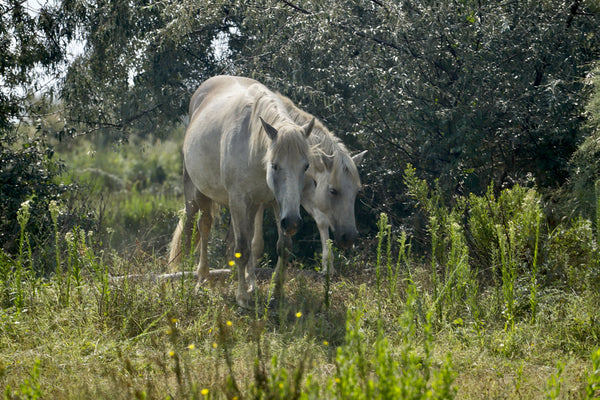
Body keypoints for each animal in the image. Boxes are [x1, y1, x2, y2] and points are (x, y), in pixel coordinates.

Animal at [166, 76, 312, 310]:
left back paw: (249, 282)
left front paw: (276, 294)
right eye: (275, 165)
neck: (253, 145)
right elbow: (241, 248)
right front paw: (242, 298)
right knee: (201, 227)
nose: (292, 222)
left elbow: (281, 246)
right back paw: (200, 278)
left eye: (305, 166)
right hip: (198, 193)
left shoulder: (275, 203)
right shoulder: (238, 201)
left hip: (253, 205)